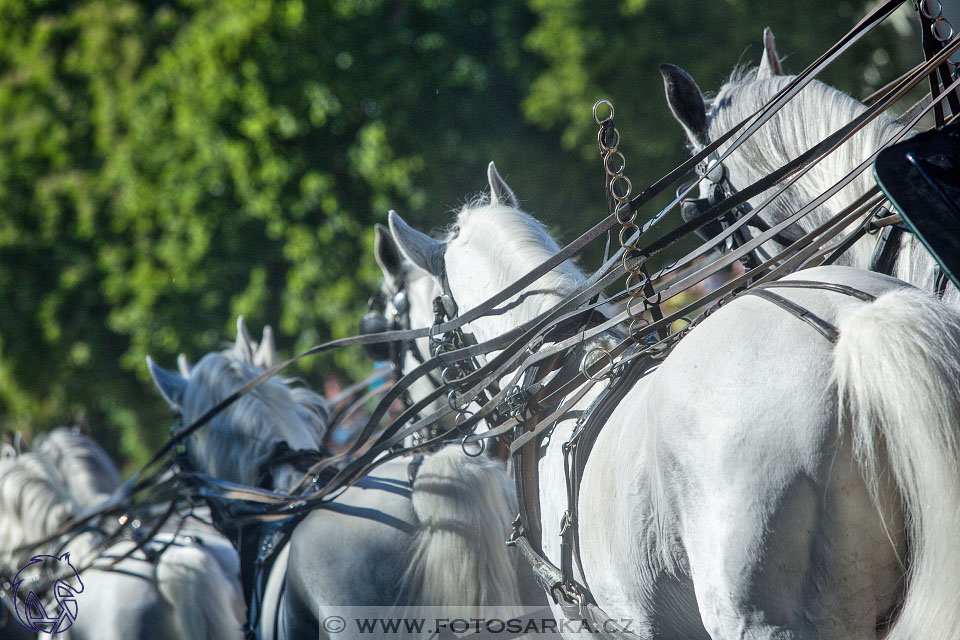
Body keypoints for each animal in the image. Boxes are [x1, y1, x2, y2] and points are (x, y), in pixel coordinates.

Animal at [384, 164, 960, 640]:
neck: (560, 377)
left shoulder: (585, 625)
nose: (419, 435)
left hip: (764, 617)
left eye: (430, 335)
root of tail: (851, 326)